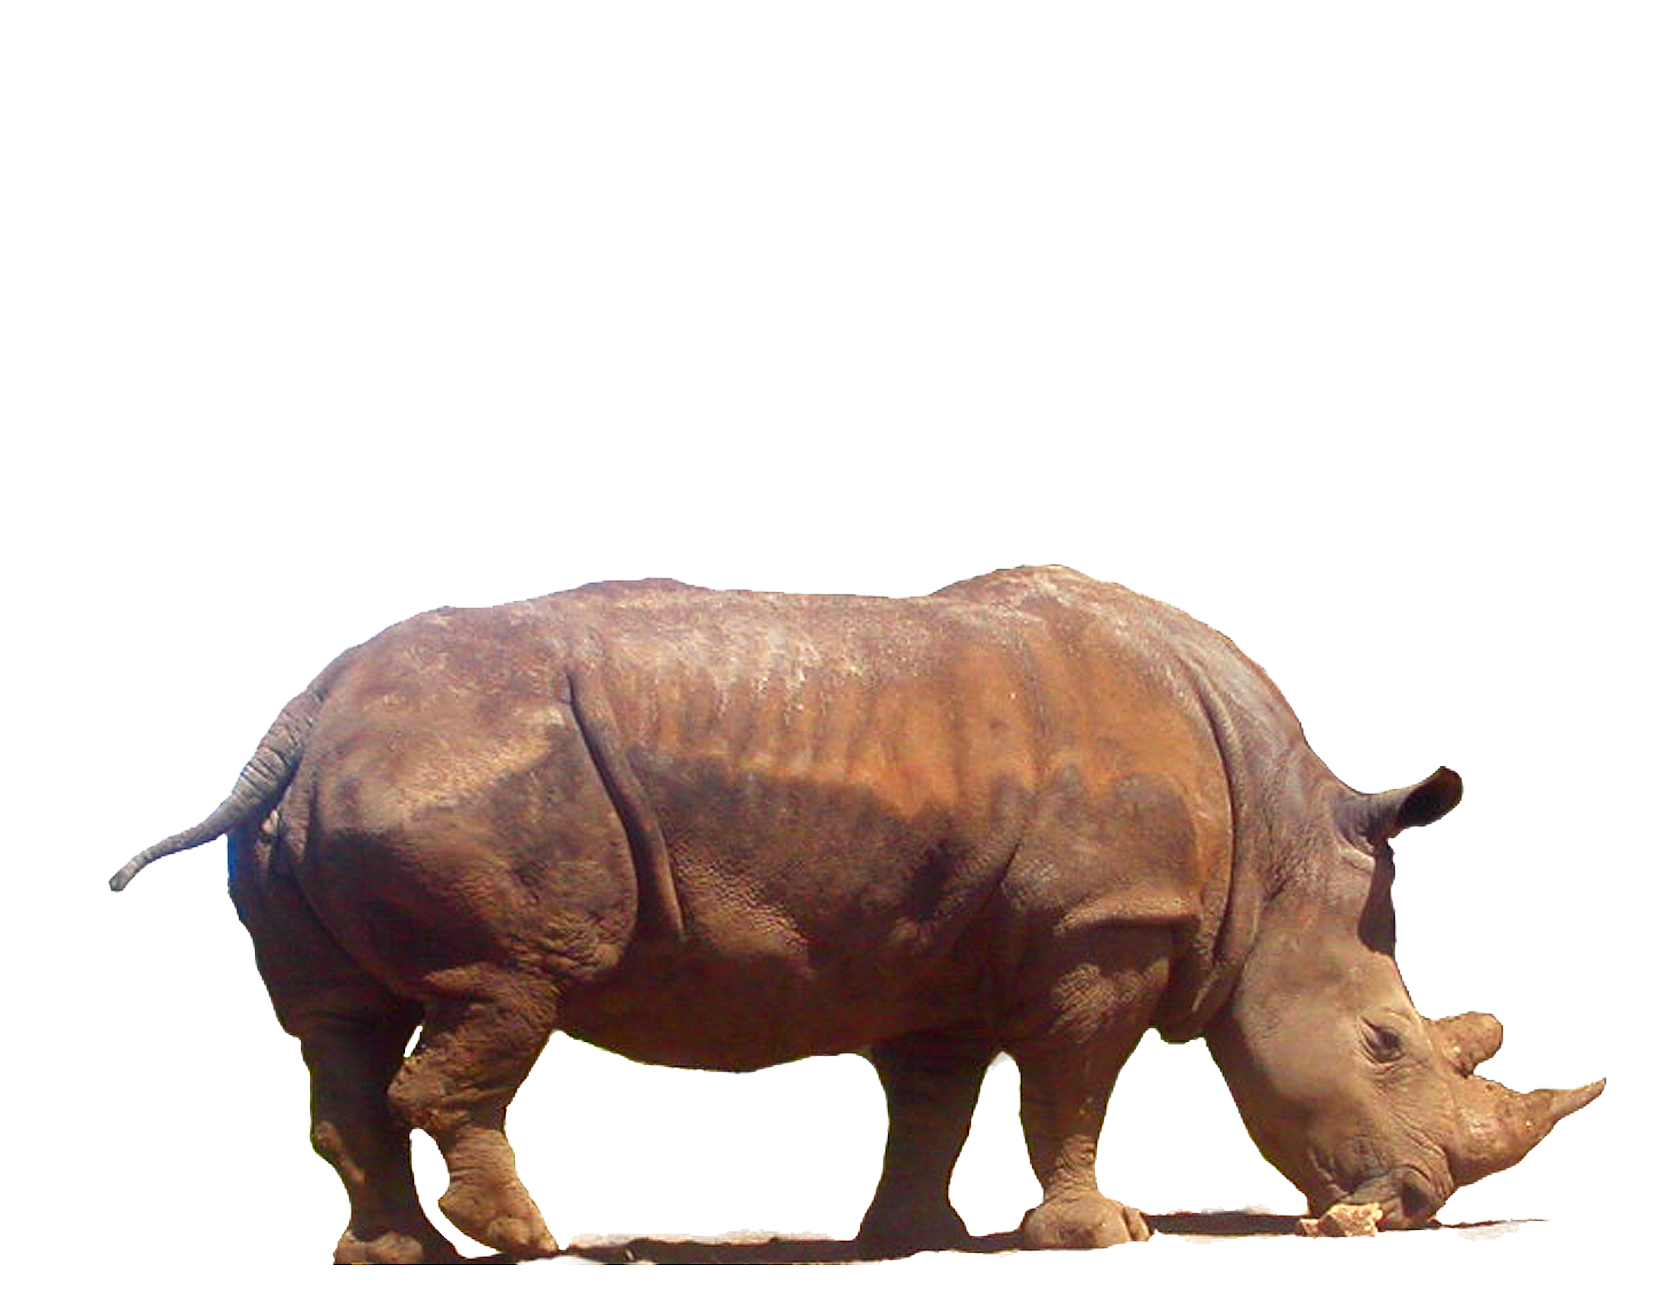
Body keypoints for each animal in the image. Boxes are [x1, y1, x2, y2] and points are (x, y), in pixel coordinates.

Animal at [112, 566, 1602, 1263]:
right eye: (1387, 1047)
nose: (1414, 1206)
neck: (1279, 849)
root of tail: (299, 720)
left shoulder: (939, 956)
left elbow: (935, 1100)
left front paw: (914, 1238)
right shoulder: (1104, 931)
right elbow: (1071, 1085)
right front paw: (1103, 1233)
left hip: (357, 785)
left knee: (342, 1023)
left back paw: (397, 1254)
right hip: (469, 775)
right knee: (505, 987)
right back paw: (533, 1242)